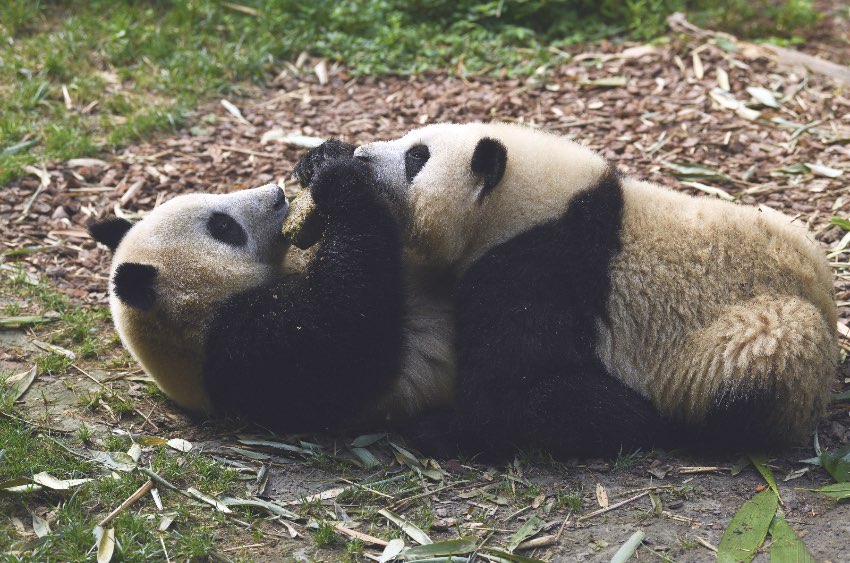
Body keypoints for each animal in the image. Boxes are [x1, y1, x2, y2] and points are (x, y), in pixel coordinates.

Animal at [89, 145, 454, 432]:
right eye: (224, 227)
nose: (278, 195)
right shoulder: (250, 354)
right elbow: (351, 329)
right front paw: (338, 180)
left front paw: (322, 159)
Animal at [352, 122, 836, 458]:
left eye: (416, 156)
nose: (359, 156)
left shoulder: (539, 269)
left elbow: (514, 388)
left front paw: (441, 428)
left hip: (754, 331)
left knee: (759, 362)